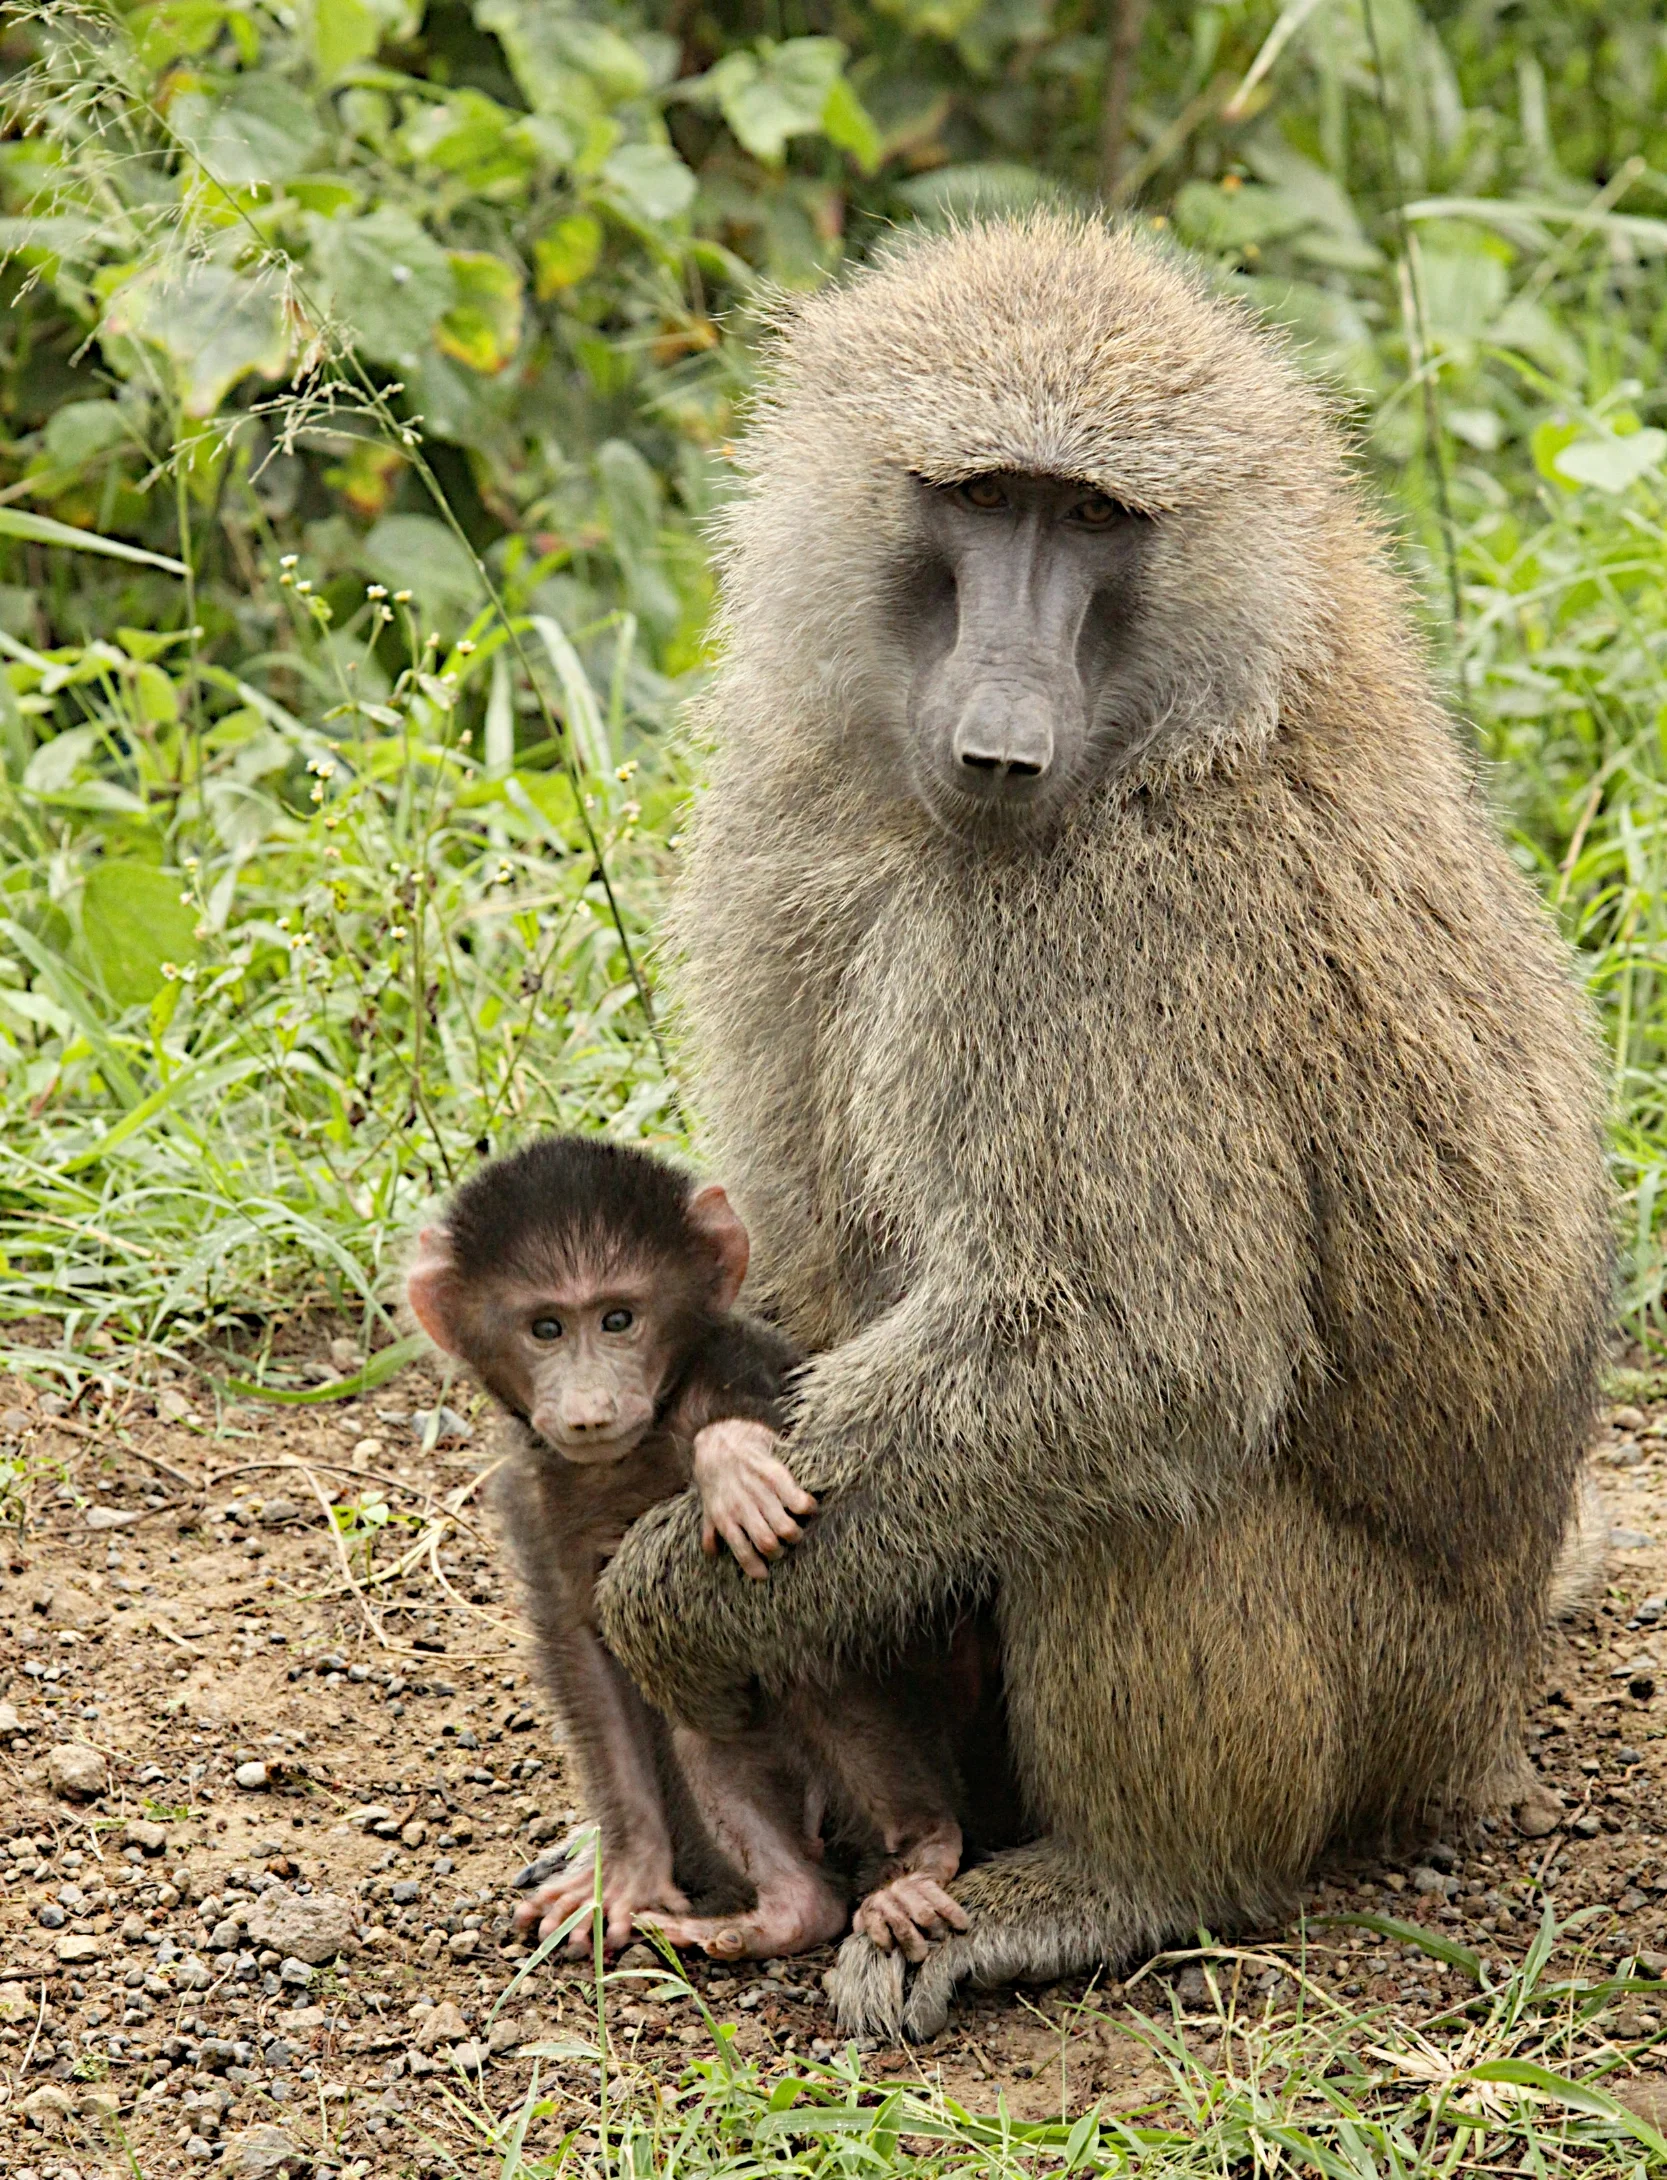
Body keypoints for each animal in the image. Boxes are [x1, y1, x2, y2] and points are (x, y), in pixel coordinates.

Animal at [405, 1133, 974, 1961]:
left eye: (618, 1318)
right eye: (546, 1329)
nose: (589, 1408)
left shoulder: (745, 1363)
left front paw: (729, 1463)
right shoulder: (535, 1494)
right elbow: (588, 1655)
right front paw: (628, 1869)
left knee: (800, 1655)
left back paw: (921, 1854)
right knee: (701, 1725)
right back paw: (787, 1912)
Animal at [587, 213, 1613, 2041]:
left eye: (1089, 519)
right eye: (983, 497)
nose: (1002, 745)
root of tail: (1492, 1686)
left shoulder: (1107, 939)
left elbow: (1137, 1344)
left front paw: (670, 1607)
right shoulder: (794, 804)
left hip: (1387, 1692)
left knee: (1143, 1474)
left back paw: (1117, 1879)